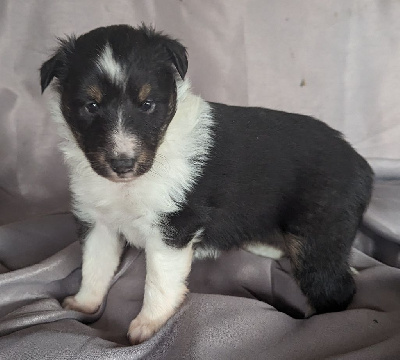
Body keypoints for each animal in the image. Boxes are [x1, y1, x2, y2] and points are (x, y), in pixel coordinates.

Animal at [39, 23, 372, 344]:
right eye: (91, 106)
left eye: (147, 104)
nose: (123, 164)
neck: (132, 182)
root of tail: (362, 164)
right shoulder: (98, 221)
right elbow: (94, 266)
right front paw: (84, 304)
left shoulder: (172, 227)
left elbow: (158, 280)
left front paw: (149, 325)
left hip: (318, 234)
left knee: (337, 289)